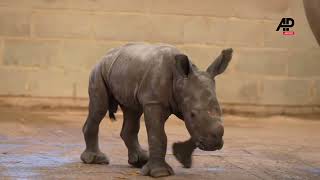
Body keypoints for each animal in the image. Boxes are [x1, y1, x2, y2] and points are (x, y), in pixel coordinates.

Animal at [81, 43, 234, 178]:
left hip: (124, 72)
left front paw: (181, 157)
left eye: (221, 111)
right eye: (193, 114)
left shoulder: (183, 102)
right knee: (99, 108)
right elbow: (158, 135)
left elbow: (197, 130)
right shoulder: (154, 102)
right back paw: (97, 160)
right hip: (98, 71)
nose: (214, 144)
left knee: (132, 111)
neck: (180, 80)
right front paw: (160, 173)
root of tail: (104, 56)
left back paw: (140, 161)